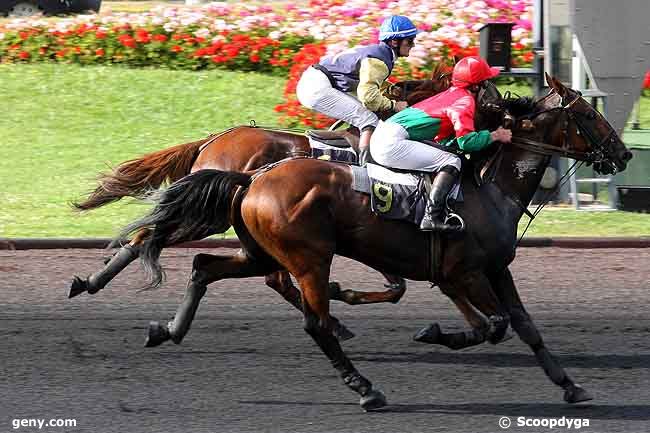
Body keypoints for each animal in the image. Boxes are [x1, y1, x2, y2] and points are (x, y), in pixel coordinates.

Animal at [114, 76, 632, 410]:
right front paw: (436, 333)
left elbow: (523, 326)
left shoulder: (488, 270)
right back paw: (365, 387)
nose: (625, 153)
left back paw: (166, 329)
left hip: (259, 250)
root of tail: (250, 176)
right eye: (588, 114)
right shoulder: (464, 273)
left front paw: (570, 386)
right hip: (310, 258)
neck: (489, 189)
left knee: (204, 265)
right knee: (313, 321)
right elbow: (496, 324)